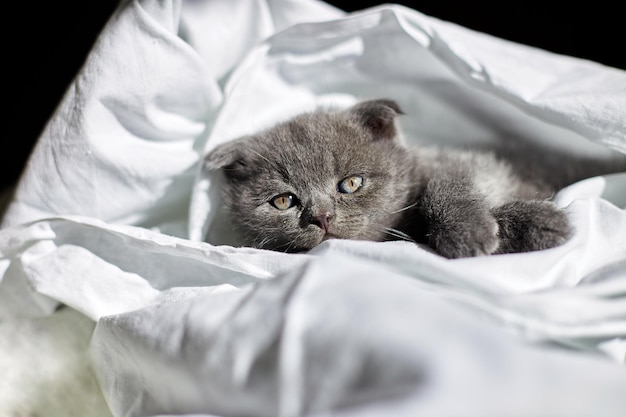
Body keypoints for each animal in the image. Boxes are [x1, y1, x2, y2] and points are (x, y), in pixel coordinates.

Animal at [202, 99, 620, 258]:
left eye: (350, 183)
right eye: (283, 201)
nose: (322, 217)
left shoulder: (468, 162)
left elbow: (447, 185)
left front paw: (473, 232)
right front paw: (537, 223)